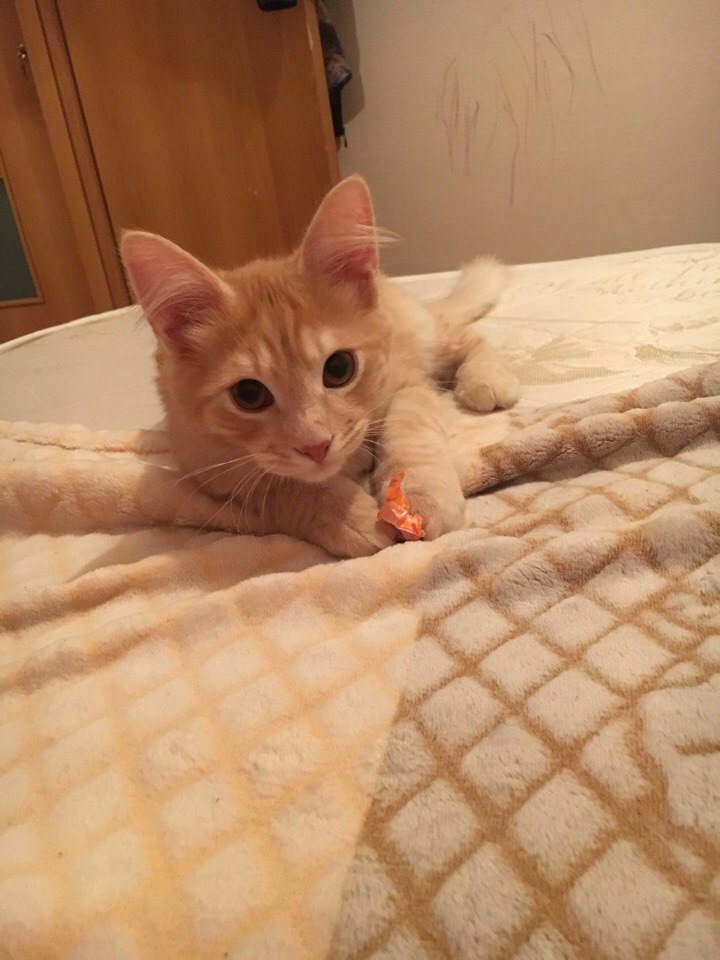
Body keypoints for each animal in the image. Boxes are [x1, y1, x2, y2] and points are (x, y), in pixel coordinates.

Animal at [121, 175, 519, 557]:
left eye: (339, 369)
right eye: (248, 395)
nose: (316, 446)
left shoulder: (406, 380)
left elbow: (409, 424)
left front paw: (419, 494)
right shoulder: (203, 464)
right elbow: (281, 486)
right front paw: (347, 515)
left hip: (421, 332)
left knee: (463, 337)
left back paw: (487, 378)